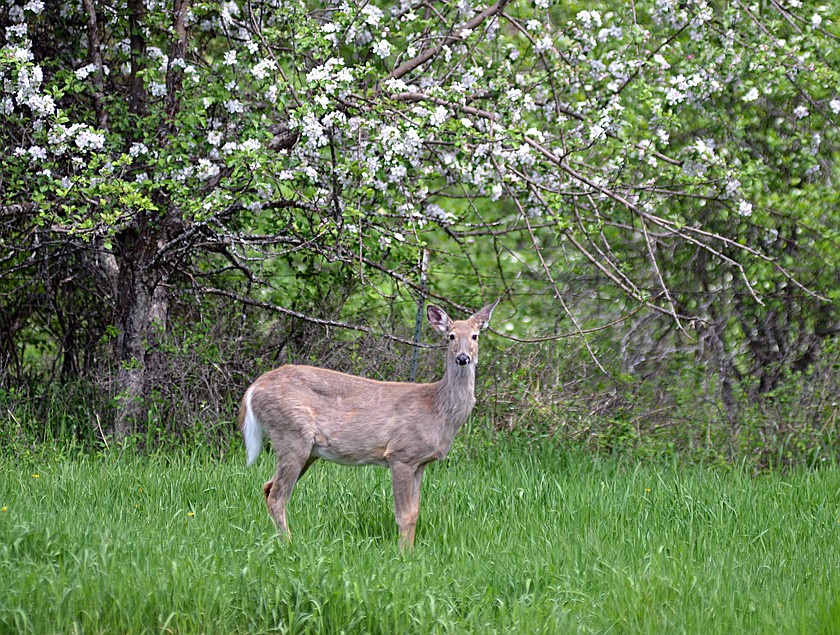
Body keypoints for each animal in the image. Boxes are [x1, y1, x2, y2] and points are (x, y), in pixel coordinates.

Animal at [237, 299, 499, 549]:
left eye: (475, 335)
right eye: (451, 336)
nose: (463, 358)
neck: (436, 409)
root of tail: (254, 388)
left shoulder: (420, 463)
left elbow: (414, 514)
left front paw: (411, 553)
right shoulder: (401, 454)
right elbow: (403, 515)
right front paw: (402, 555)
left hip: (307, 449)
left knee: (268, 487)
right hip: (291, 434)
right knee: (277, 496)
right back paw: (289, 545)